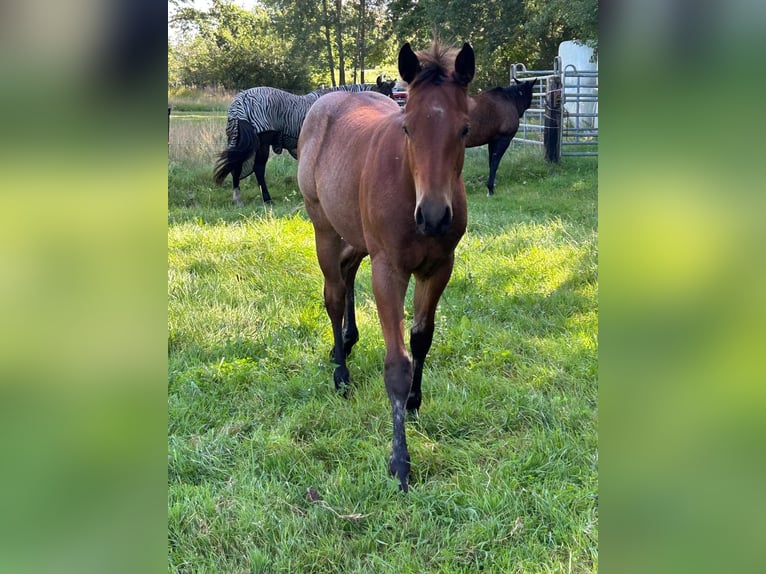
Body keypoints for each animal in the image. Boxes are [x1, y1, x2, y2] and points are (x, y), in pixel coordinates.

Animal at [214, 77, 396, 205]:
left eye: (392, 96)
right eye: (382, 95)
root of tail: (241, 101)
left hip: (240, 142)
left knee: (236, 166)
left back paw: (238, 199)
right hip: (261, 143)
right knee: (257, 168)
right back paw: (266, 199)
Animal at [297, 41, 475, 492]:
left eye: (465, 129)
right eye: (407, 128)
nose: (434, 217)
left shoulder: (439, 267)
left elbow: (422, 338)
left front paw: (414, 401)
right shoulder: (389, 269)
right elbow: (396, 364)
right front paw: (400, 462)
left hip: (358, 238)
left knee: (347, 271)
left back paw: (345, 342)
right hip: (324, 228)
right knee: (333, 293)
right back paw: (341, 372)